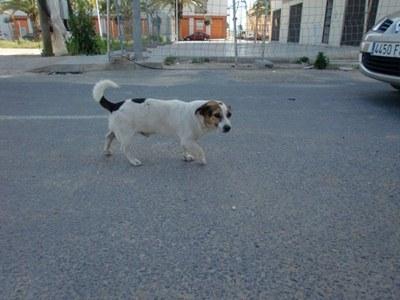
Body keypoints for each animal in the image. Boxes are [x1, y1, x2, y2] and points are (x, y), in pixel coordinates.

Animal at [92, 78, 231, 165]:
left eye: (229, 115)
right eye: (217, 115)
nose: (228, 128)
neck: (197, 116)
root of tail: (116, 105)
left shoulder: (185, 140)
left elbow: (185, 148)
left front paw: (186, 156)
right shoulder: (188, 140)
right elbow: (200, 150)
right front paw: (202, 159)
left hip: (117, 130)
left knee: (108, 136)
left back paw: (106, 151)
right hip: (126, 135)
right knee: (124, 148)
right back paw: (133, 161)